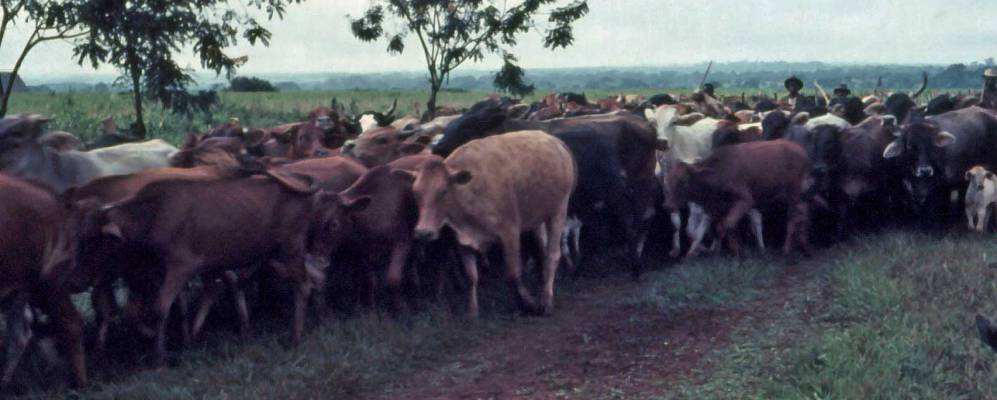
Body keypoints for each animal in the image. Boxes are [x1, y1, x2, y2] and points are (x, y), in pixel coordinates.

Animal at [0, 174, 86, 390]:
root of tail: (59, 201)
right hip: (22, 290)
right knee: (20, 333)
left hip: (47, 285)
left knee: (70, 323)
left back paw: (80, 385)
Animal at [397, 131, 576, 317]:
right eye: (416, 193)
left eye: (443, 191)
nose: (423, 232)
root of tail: (554, 140)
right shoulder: (462, 238)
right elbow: (471, 276)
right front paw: (472, 311)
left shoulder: (510, 231)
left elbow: (513, 274)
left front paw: (528, 303)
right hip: (537, 218)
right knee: (542, 249)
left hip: (558, 211)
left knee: (553, 254)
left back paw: (546, 300)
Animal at [667, 140, 809, 257]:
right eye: (669, 180)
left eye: (684, 181)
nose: (668, 205)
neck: (718, 173)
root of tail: (801, 149)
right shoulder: (717, 207)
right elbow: (721, 229)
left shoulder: (745, 200)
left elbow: (726, 226)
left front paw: (737, 251)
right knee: (802, 211)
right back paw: (804, 245)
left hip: (793, 191)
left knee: (793, 217)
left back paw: (786, 249)